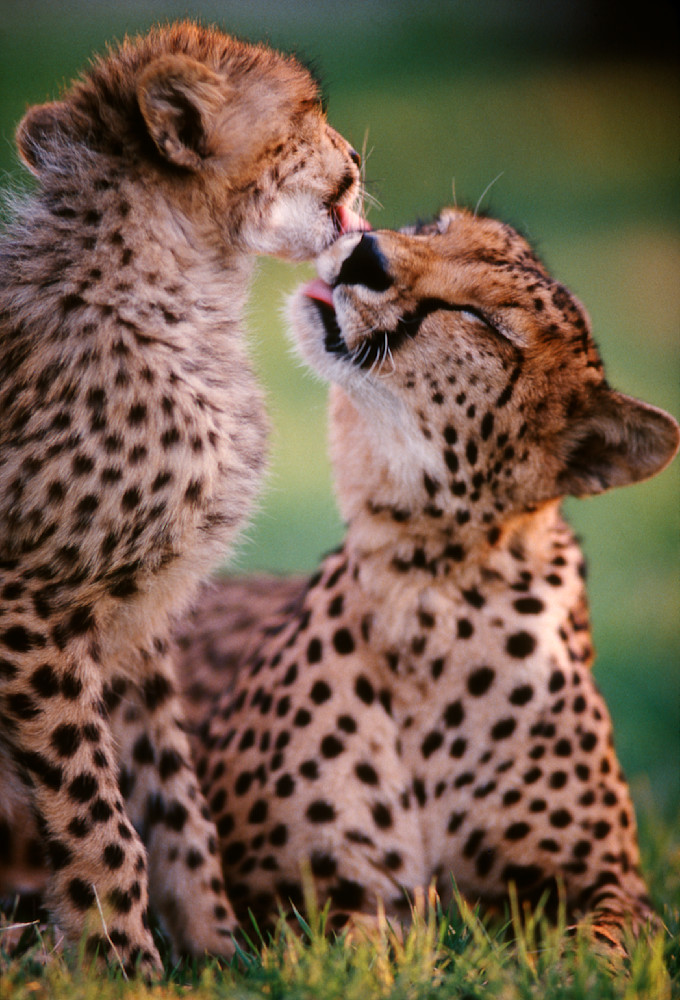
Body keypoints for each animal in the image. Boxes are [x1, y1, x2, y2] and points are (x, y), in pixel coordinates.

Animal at [0, 20, 366, 974]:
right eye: (309, 113)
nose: (355, 158)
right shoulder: (27, 607)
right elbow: (95, 808)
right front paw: (123, 961)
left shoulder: (135, 620)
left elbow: (169, 794)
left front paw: (218, 951)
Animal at [173, 207, 677, 950]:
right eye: (435, 226)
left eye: (483, 320)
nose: (366, 254)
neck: (429, 581)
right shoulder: (284, 902)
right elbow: (360, 939)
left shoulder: (617, 885)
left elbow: (602, 945)